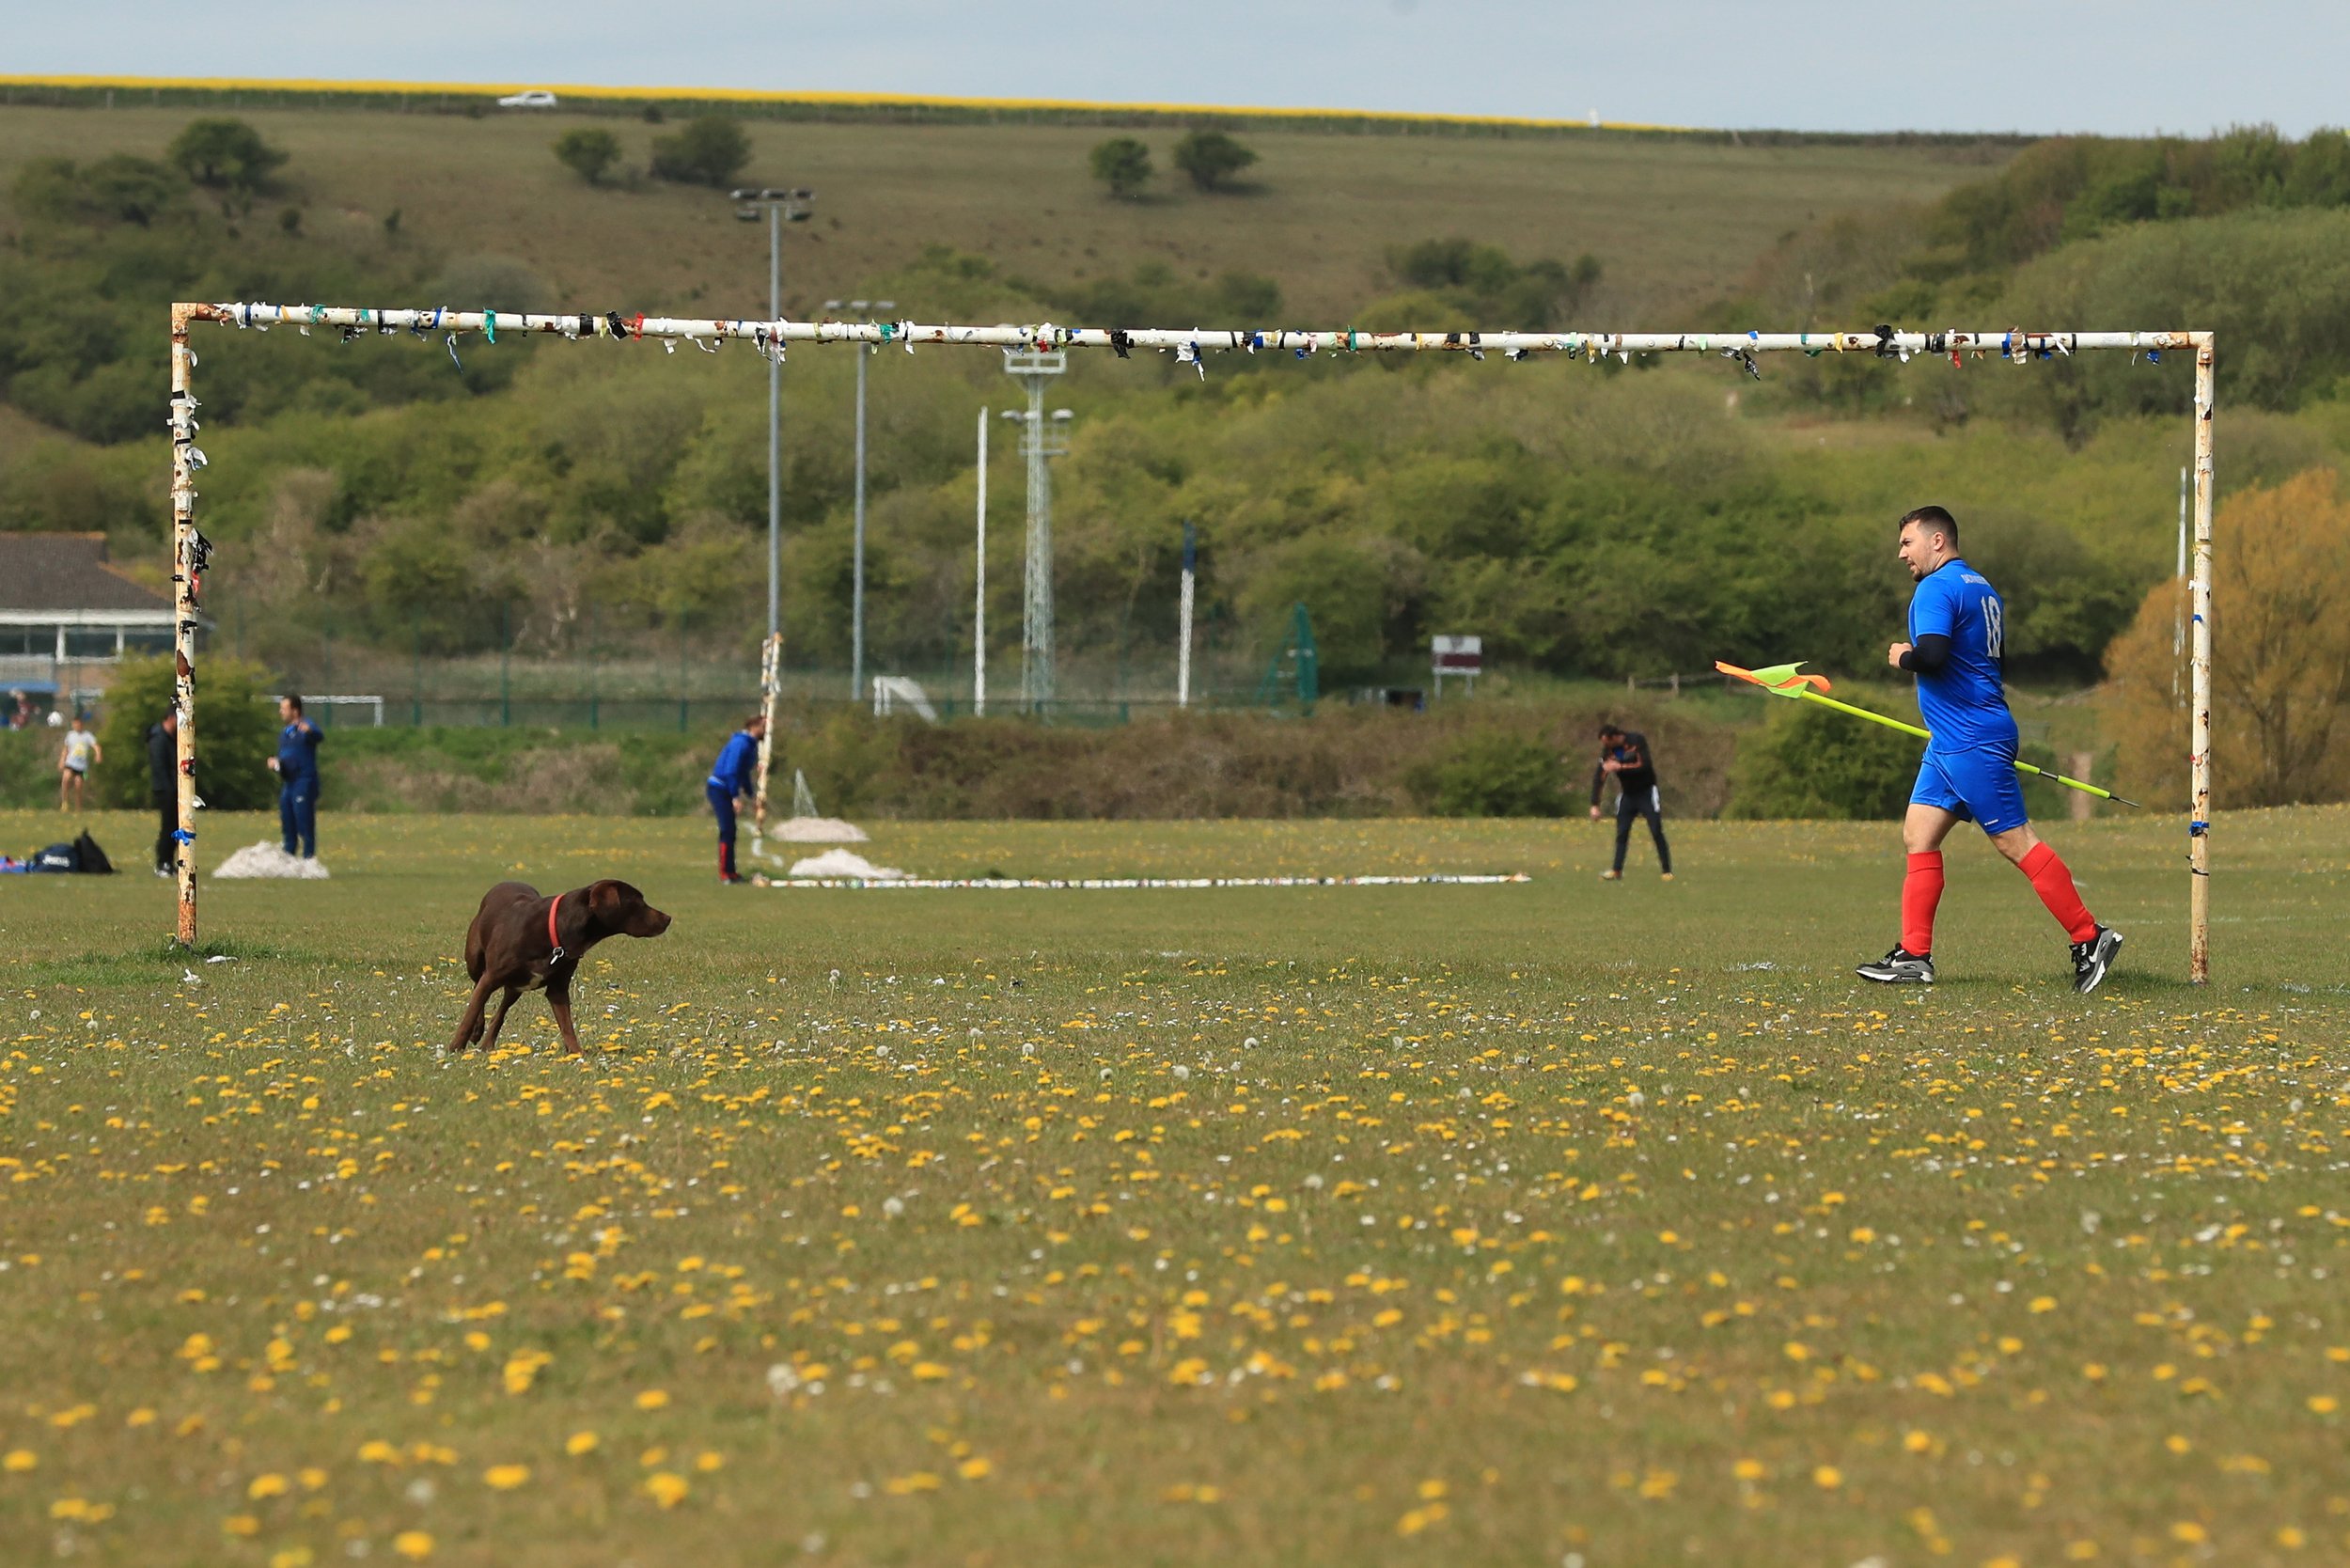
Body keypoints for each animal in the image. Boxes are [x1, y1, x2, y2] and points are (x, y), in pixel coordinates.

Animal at [448, 884, 672, 1053]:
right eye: (637, 902)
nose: (668, 918)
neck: (555, 930)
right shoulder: (491, 978)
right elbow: (469, 1015)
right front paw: (455, 1047)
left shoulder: (558, 989)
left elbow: (567, 1026)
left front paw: (577, 1053)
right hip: (476, 964)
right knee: (477, 990)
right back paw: (477, 1033)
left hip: (516, 986)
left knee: (500, 1012)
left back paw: (487, 1044)